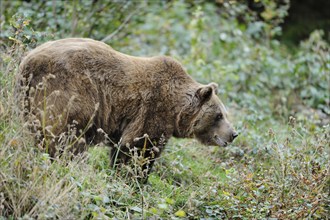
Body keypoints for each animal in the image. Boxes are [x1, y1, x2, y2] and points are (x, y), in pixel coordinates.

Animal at [17, 37, 237, 175]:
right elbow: (139, 149)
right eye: (219, 115)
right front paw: (134, 178)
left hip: (29, 101)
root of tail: (28, 61)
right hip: (70, 92)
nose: (233, 134)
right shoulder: (152, 111)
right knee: (67, 139)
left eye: (225, 113)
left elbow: (120, 149)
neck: (176, 111)